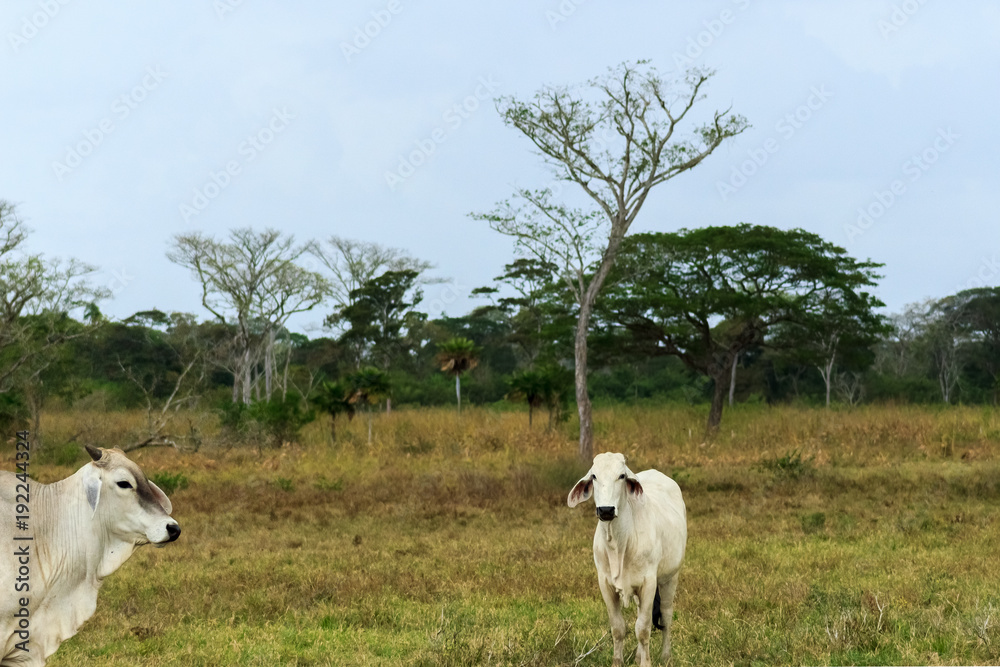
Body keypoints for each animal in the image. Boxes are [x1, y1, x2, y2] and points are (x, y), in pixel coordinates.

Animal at [568, 452, 687, 667]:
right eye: (594, 476)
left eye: (622, 476)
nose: (606, 510)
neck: (619, 543)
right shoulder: (605, 585)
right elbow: (618, 628)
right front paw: (618, 661)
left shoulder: (649, 583)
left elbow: (643, 629)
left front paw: (646, 663)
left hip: (670, 577)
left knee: (666, 615)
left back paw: (666, 656)